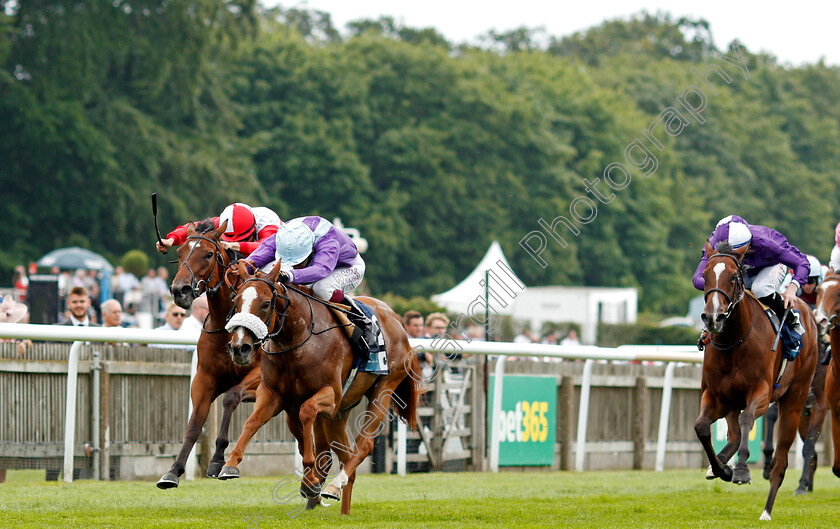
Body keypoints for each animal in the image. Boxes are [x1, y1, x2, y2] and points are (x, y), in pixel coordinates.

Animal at [156, 221, 262, 488]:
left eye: (208, 254)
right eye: (180, 253)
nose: (179, 290)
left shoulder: (260, 375)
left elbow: (231, 397)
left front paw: (217, 460)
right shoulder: (204, 377)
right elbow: (194, 425)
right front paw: (173, 470)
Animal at [217, 262, 416, 512]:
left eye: (265, 303)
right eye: (236, 302)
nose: (239, 348)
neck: (297, 340)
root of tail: (396, 318)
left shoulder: (330, 395)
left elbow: (308, 412)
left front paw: (311, 481)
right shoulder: (274, 396)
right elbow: (253, 422)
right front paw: (230, 464)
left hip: (383, 389)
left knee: (364, 445)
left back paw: (334, 485)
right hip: (340, 413)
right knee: (344, 454)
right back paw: (342, 504)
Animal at [700, 241, 816, 520]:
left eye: (733, 277)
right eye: (705, 275)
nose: (713, 318)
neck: (735, 341)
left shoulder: (761, 392)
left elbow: (747, 420)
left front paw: (741, 470)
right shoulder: (716, 395)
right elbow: (702, 427)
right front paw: (722, 469)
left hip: (794, 401)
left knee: (780, 462)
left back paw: (767, 510)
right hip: (732, 400)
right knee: (732, 434)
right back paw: (720, 464)